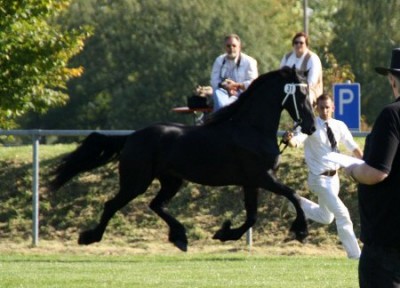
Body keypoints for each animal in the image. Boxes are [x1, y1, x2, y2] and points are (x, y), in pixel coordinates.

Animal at [50, 66, 316, 251]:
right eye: (300, 94)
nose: (311, 127)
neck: (251, 129)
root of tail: (132, 137)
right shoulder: (262, 177)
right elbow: (293, 195)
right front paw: (301, 231)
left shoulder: (251, 182)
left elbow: (252, 217)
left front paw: (224, 233)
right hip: (136, 182)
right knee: (112, 205)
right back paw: (89, 237)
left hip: (171, 181)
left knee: (155, 204)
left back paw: (180, 237)